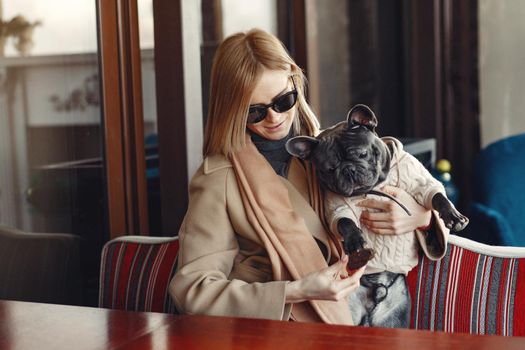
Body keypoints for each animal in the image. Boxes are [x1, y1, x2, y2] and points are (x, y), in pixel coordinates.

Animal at [286, 104, 466, 328]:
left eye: (362, 154)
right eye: (329, 169)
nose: (348, 170)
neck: (376, 186)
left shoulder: (421, 181)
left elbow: (437, 196)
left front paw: (453, 216)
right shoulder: (339, 207)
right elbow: (345, 222)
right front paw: (355, 241)